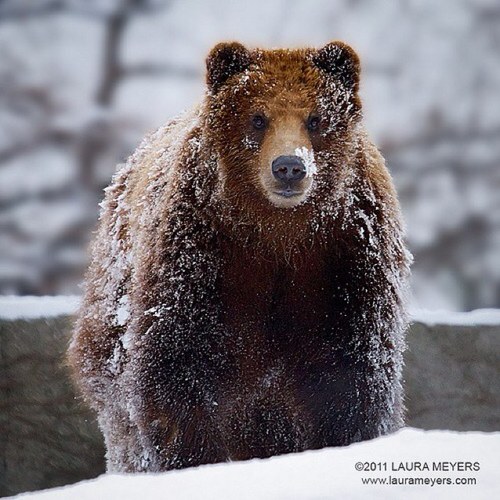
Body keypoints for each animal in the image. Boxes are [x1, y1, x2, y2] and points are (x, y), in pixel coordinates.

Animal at [67, 40, 410, 472]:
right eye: (258, 118)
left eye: (315, 119)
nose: (289, 167)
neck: (278, 232)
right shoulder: (202, 252)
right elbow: (177, 368)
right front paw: (195, 459)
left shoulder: (347, 257)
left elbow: (352, 374)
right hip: (112, 324)